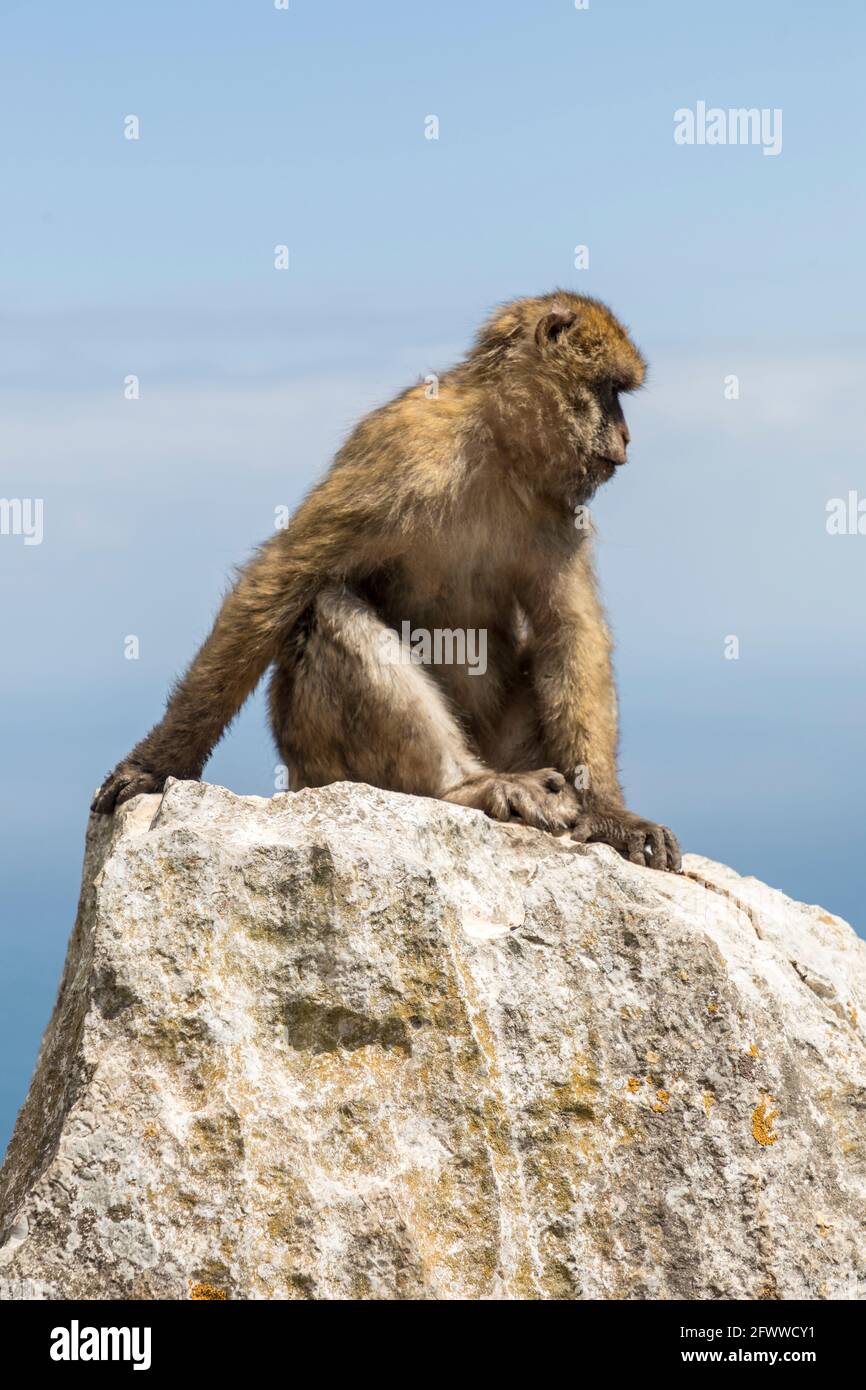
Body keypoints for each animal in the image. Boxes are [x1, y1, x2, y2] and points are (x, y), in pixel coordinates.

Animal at [92, 291, 681, 871]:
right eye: (609, 391)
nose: (627, 436)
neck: (496, 445)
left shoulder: (560, 507)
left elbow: (569, 632)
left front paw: (608, 813)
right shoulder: (401, 448)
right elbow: (283, 577)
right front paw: (156, 764)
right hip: (326, 765)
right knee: (326, 608)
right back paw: (466, 786)